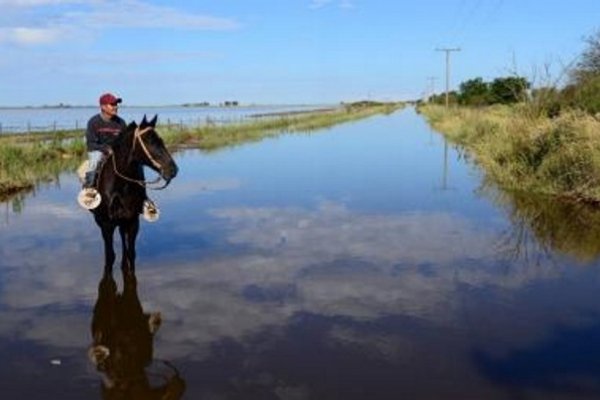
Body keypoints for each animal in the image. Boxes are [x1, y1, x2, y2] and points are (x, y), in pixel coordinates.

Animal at [90, 115, 177, 272]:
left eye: (160, 140)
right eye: (150, 142)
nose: (173, 170)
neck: (120, 187)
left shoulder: (133, 222)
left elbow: (131, 254)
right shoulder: (106, 225)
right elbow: (110, 256)